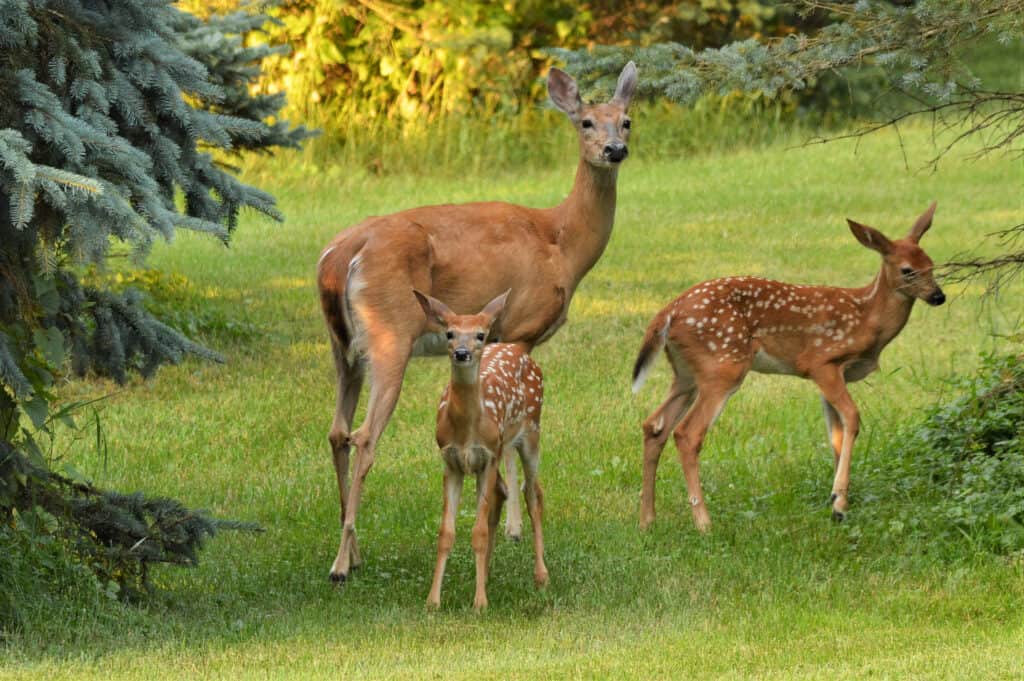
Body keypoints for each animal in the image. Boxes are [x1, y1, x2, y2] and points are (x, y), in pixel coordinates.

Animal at [411, 288, 548, 606]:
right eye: (449, 333)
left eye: (480, 335)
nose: (462, 353)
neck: (465, 431)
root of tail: (521, 350)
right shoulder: (451, 462)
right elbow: (446, 533)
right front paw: (433, 601)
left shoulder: (487, 458)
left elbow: (479, 532)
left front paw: (479, 603)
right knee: (504, 494)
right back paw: (487, 575)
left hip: (530, 434)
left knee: (532, 494)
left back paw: (541, 576)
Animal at [626, 201, 946, 532]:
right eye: (907, 270)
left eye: (932, 264)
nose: (939, 296)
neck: (866, 317)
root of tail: (667, 313)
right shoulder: (821, 362)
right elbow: (853, 419)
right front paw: (840, 502)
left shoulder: (832, 376)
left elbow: (836, 435)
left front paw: (838, 501)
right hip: (723, 365)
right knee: (687, 434)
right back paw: (704, 523)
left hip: (686, 374)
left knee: (654, 425)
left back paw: (647, 520)